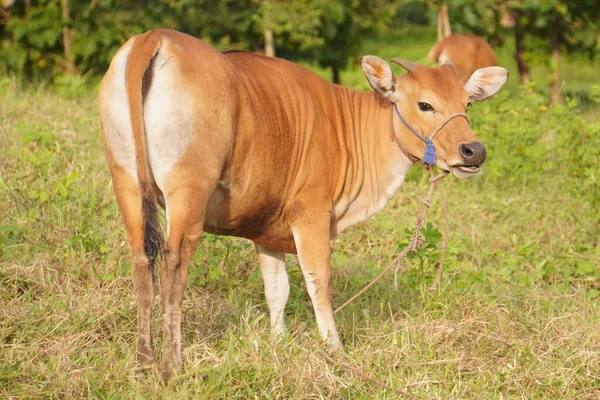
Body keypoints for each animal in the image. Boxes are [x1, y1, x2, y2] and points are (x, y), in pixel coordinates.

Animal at [97, 28, 506, 382]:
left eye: (467, 103)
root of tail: (156, 36)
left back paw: (143, 360)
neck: (350, 129)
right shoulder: (311, 215)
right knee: (173, 264)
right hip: (189, 190)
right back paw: (171, 364)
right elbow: (318, 283)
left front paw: (278, 343)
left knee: (141, 261)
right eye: (425, 104)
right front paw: (336, 351)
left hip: (126, 181)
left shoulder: (264, 228)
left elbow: (277, 290)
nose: (474, 150)